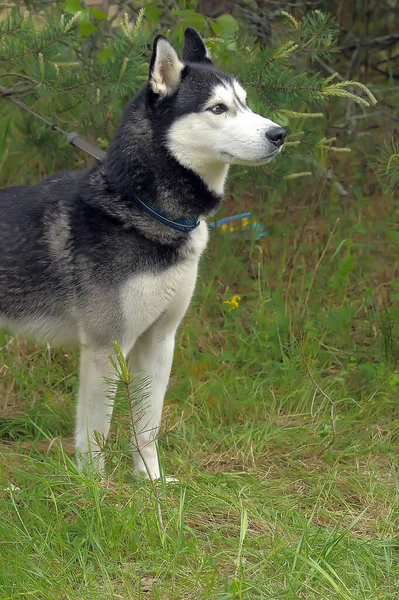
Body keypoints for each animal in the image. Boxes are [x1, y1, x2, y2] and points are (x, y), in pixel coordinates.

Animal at [0, 28, 288, 478]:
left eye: (245, 102)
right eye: (218, 108)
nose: (279, 133)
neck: (145, 207)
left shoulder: (159, 340)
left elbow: (148, 425)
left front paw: (150, 481)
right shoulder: (106, 346)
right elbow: (95, 434)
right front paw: (96, 488)